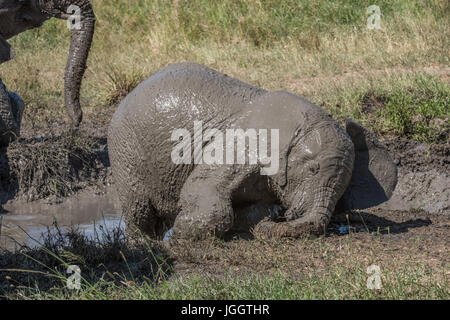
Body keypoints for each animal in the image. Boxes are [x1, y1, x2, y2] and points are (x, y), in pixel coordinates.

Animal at [109, 62, 398, 239]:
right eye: (313, 169)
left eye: (343, 189)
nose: (283, 215)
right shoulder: (237, 145)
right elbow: (199, 189)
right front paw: (180, 235)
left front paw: (260, 218)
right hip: (124, 149)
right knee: (139, 211)